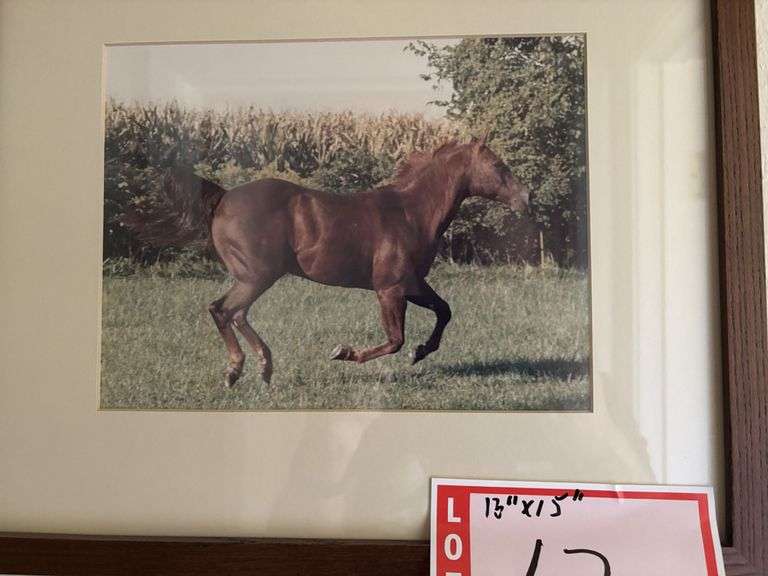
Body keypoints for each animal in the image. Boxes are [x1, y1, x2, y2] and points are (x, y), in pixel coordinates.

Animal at [124, 138, 530, 386]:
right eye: (498, 165)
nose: (525, 198)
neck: (410, 213)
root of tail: (223, 197)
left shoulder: (413, 284)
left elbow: (444, 311)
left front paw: (421, 352)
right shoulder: (390, 289)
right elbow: (394, 339)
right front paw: (343, 352)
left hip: (254, 277)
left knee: (232, 313)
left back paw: (259, 368)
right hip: (257, 275)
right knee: (223, 310)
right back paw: (241, 371)